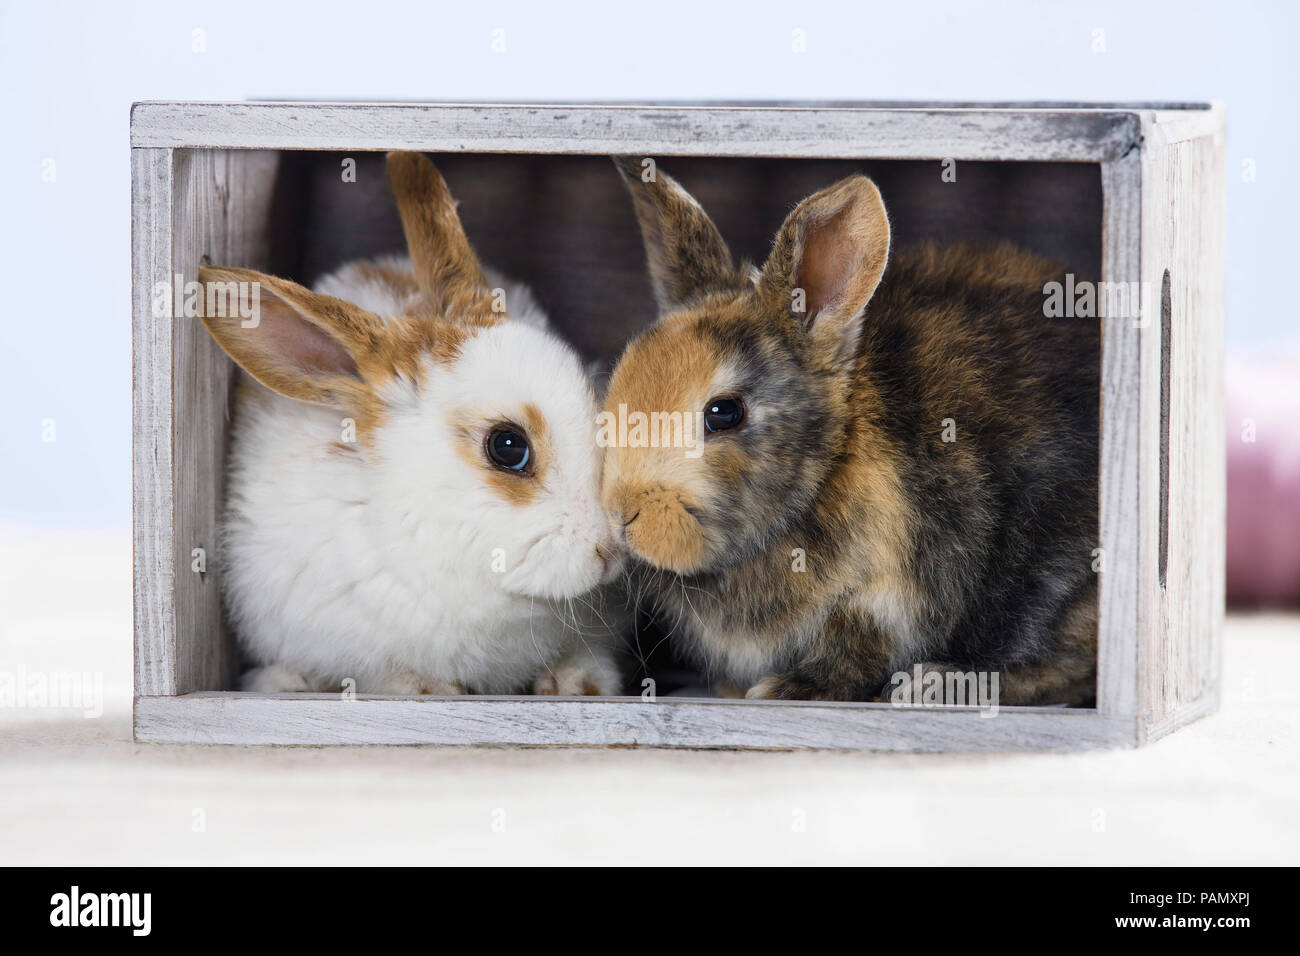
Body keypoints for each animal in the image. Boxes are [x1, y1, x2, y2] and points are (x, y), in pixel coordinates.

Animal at [600, 160, 1097, 707]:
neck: (820, 475)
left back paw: (934, 683)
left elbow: (853, 646)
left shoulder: (888, 592)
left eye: (724, 414)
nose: (621, 513)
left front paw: (784, 690)